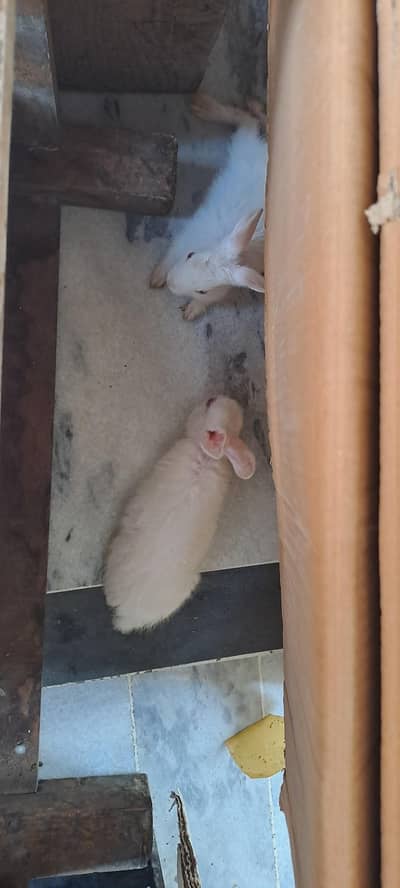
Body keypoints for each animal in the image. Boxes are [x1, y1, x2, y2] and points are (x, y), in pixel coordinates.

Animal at [150, 93, 267, 321]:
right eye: (190, 255)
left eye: (203, 290)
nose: (170, 283)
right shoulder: (182, 241)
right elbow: (168, 257)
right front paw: (156, 277)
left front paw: (191, 311)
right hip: (243, 144)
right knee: (246, 120)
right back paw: (205, 108)